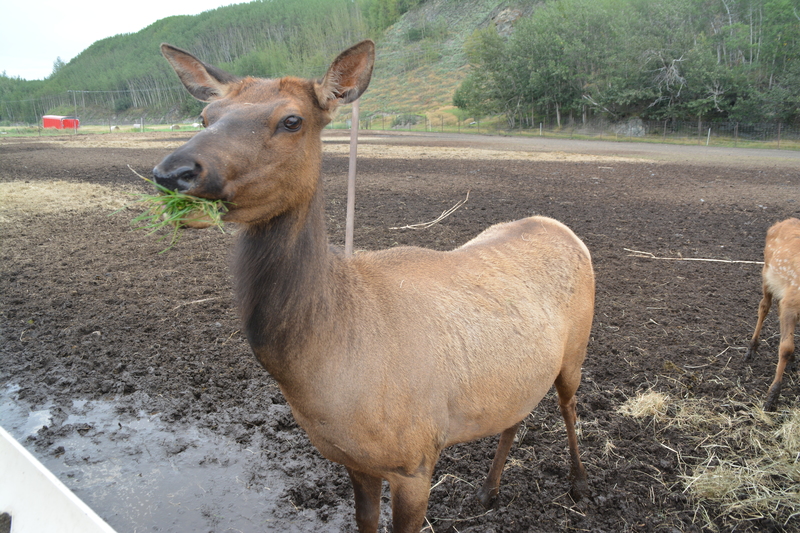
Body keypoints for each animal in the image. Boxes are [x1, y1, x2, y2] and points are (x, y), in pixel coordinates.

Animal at [152, 40, 592, 532]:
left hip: (576, 351)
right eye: (205, 115)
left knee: (569, 405)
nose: (172, 172)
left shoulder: (415, 459)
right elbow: (364, 521)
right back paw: (488, 491)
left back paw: (579, 483)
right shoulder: (355, 461)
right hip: (519, 373)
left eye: (292, 120)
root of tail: (561, 227)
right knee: (516, 413)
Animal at [748, 218, 796, 410]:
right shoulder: (791, 304)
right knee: (764, 306)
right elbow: (785, 348)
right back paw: (751, 349)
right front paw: (772, 398)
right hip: (766, 274)